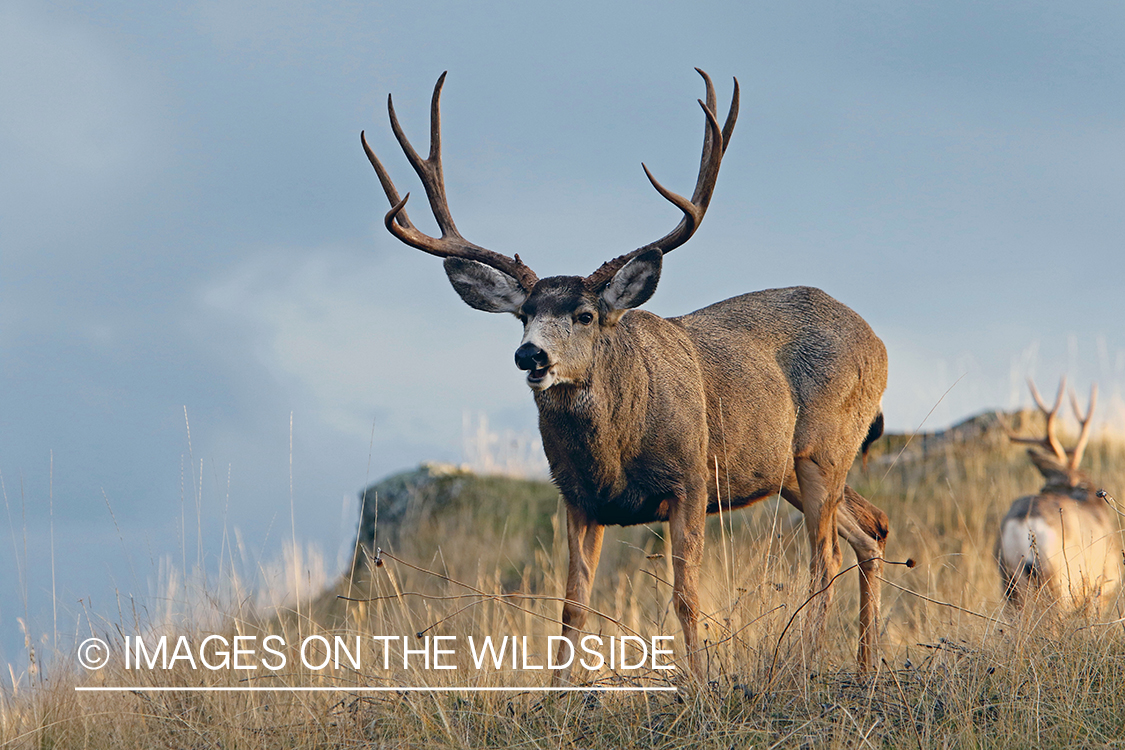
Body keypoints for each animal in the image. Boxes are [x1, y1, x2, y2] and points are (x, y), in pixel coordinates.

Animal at [360, 70, 891, 677]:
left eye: (585, 315)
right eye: (524, 314)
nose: (530, 356)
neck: (614, 449)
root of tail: (877, 342)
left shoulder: (691, 480)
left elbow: (686, 596)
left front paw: (701, 681)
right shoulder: (576, 497)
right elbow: (573, 605)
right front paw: (559, 689)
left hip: (823, 447)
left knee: (825, 555)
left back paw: (803, 664)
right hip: (790, 471)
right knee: (872, 528)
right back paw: (866, 665)